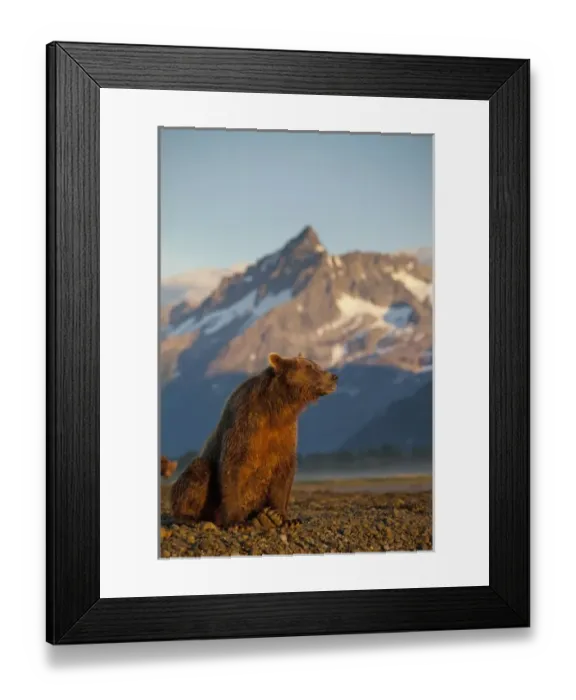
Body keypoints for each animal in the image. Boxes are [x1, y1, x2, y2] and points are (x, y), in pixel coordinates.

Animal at [170, 352, 338, 529]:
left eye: (315, 364)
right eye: (309, 367)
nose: (334, 377)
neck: (277, 408)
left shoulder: (285, 433)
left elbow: (284, 472)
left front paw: (282, 517)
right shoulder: (246, 425)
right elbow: (233, 467)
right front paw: (236, 521)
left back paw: (263, 518)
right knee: (197, 473)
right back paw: (189, 517)